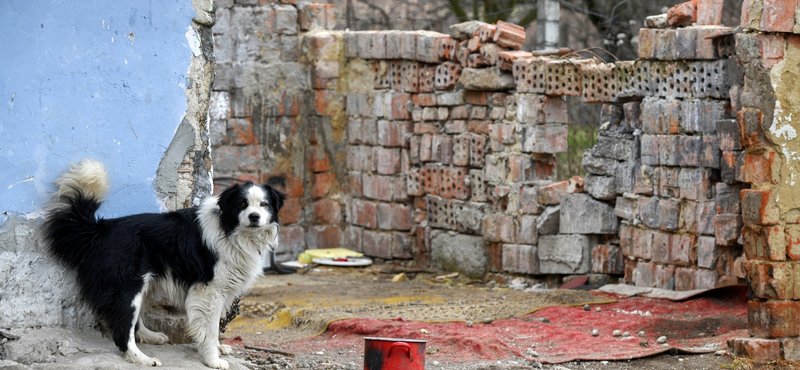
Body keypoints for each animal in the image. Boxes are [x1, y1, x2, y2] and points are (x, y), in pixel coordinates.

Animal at [44, 158, 284, 368]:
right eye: (242, 204)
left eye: (264, 204)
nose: (254, 217)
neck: (231, 230)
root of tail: (101, 230)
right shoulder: (209, 290)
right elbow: (210, 328)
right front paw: (213, 360)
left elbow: (213, 327)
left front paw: (218, 349)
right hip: (127, 285)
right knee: (122, 330)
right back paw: (142, 359)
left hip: (138, 284)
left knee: (133, 321)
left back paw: (150, 336)